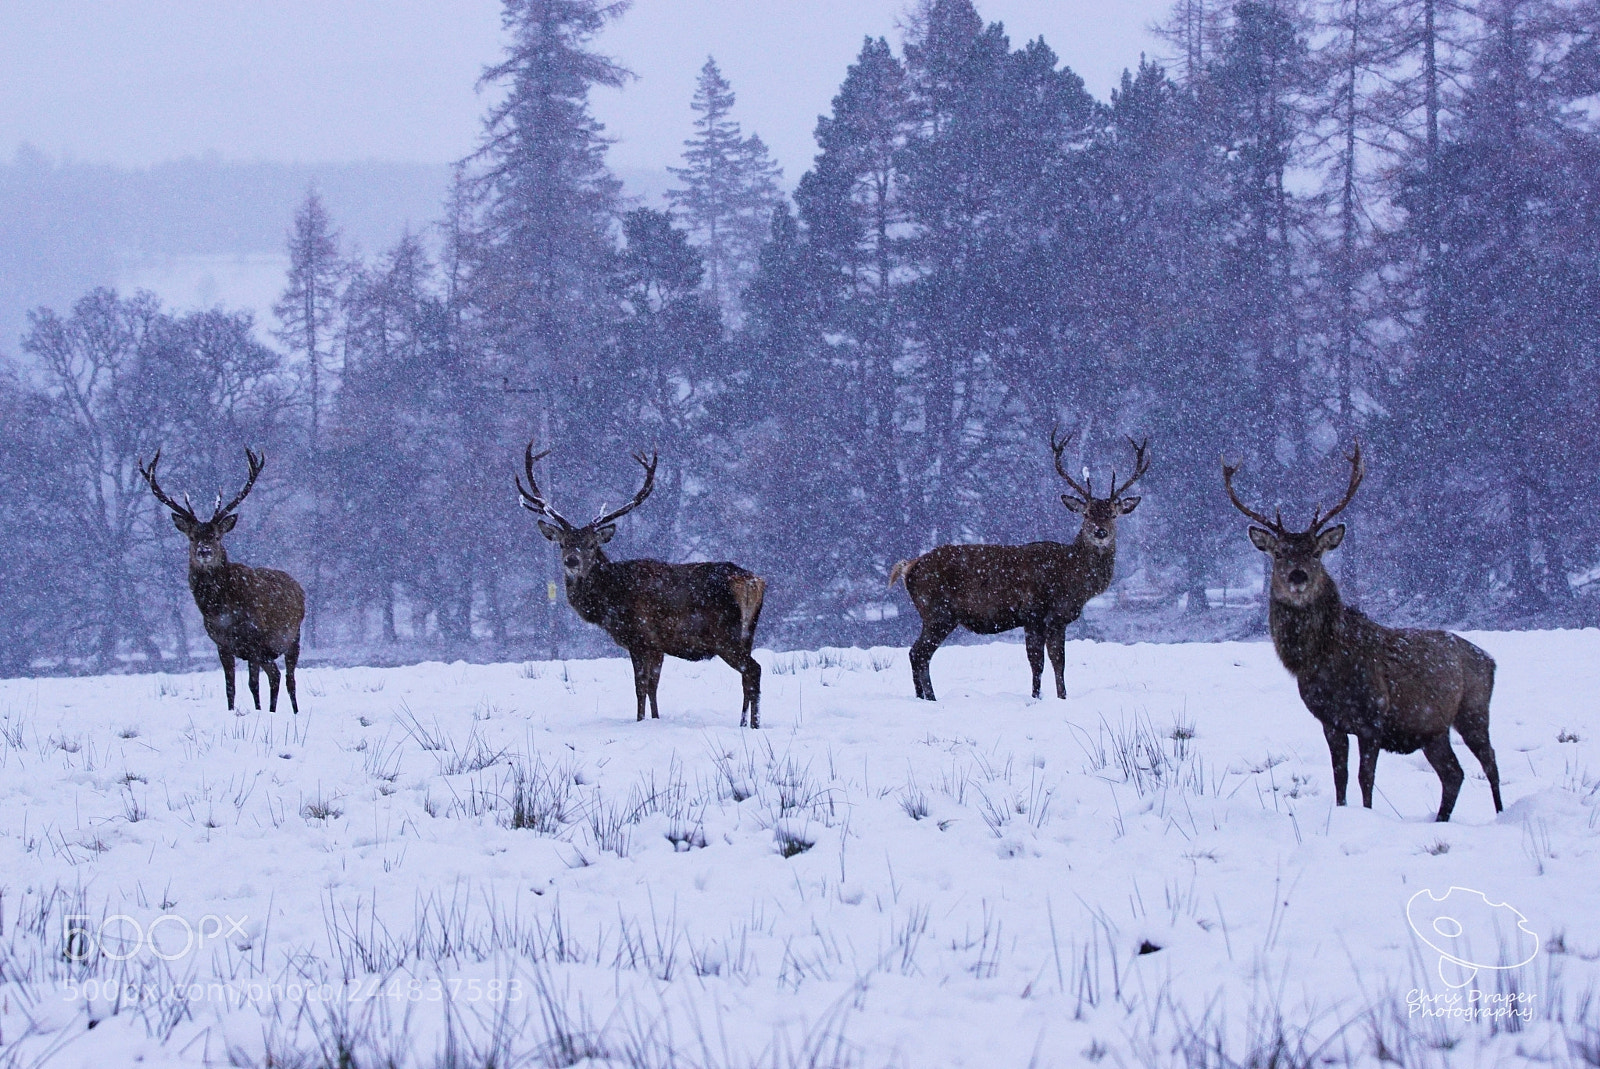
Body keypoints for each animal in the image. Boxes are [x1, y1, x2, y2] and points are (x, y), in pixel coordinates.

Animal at [139, 447, 305, 714]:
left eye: (217, 537)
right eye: (193, 537)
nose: (204, 551)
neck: (222, 612)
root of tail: (298, 586)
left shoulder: (253, 641)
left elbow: (253, 684)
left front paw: (258, 713)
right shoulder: (222, 644)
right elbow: (231, 687)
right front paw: (233, 712)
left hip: (293, 638)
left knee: (287, 678)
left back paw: (290, 711)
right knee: (276, 676)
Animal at [516, 444, 767, 727]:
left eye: (591, 544)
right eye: (562, 543)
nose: (571, 560)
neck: (610, 601)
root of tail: (753, 582)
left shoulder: (639, 637)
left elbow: (641, 687)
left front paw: (639, 721)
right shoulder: (657, 646)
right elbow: (653, 687)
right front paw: (656, 719)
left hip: (725, 635)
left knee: (754, 670)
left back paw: (753, 724)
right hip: (748, 633)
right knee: (747, 676)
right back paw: (744, 722)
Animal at [889, 430, 1149, 702]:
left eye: (1113, 514)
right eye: (1086, 513)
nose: (1100, 532)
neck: (1070, 579)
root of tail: (909, 566)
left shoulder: (1058, 619)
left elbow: (1059, 661)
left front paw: (1062, 697)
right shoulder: (1033, 612)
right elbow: (1038, 662)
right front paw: (1036, 697)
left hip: (935, 614)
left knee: (915, 653)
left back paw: (922, 698)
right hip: (938, 611)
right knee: (920, 653)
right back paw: (931, 698)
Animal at [1222, 444, 1502, 822]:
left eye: (1315, 552)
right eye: (1279, 553)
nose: (1298, 576)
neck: (1323, 660)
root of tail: (1491, 661)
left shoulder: (1374, 717)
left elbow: (1364, 778)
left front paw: (1369, 815)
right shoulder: (1330, 721)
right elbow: (1339, 776)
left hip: (1474, 710)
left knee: (1490, 764)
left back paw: (1501, 813)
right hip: (1433, 728)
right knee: (1453, 773)